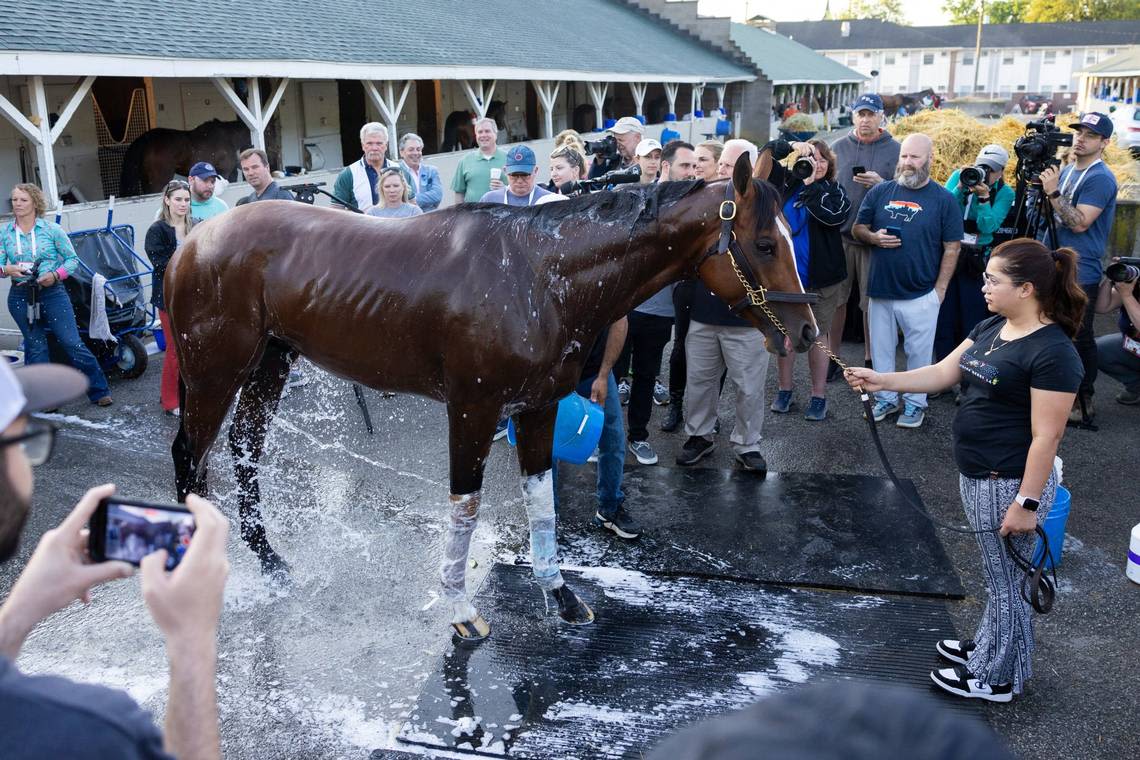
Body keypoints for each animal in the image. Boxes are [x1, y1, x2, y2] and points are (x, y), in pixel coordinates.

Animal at [165, 157, 816, 638]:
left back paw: (274, 564)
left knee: (244, 448)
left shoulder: (539, 407)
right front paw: (459, 608)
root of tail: (192, 242)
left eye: (788, 238)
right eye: (763, 243)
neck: (538, 275)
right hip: (214, 371)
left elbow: (542, 500)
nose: (807, 332)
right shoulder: (472, 409)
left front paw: (560, 595)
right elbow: (466, 506)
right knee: (191, 458)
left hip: (270, 362)